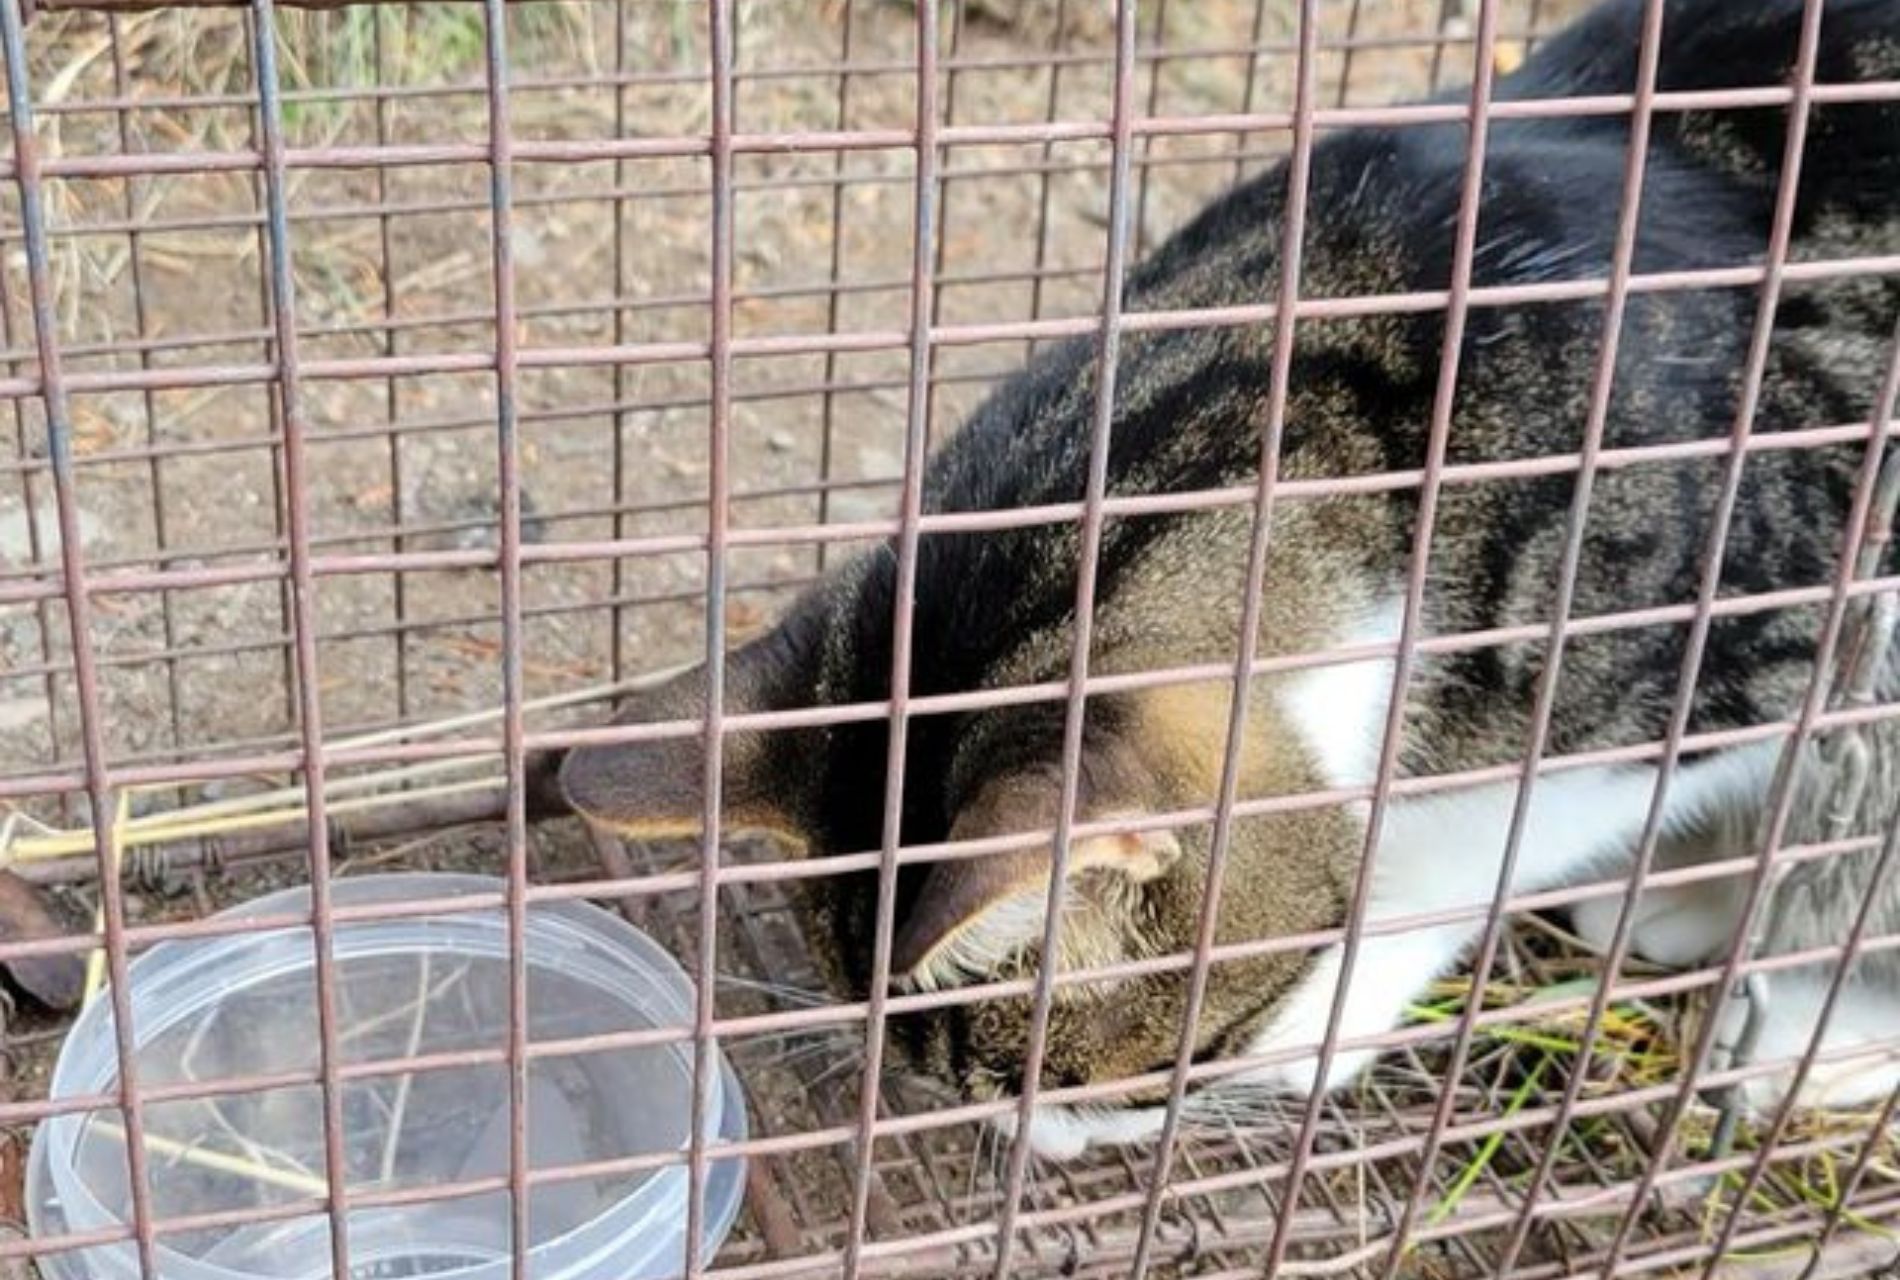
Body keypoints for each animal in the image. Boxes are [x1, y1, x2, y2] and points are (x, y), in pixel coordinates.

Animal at [558, 0, 1900, 1154]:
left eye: (1112, 1080)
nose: (1032, 1142)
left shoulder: (1763, 631)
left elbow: (1497, 825)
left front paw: (1335, 1000)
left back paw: (1804, 1025)